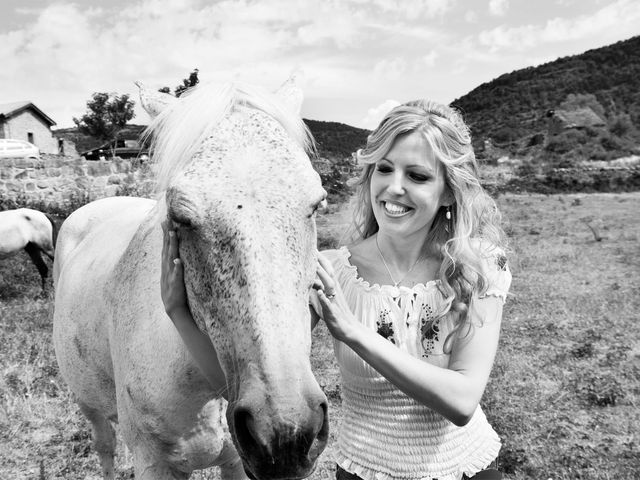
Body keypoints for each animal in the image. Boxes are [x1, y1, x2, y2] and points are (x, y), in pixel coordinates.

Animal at [52, 79, 328, 480]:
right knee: (104, 446)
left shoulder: (235, 463)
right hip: (89, 405)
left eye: (316, 205)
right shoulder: (152, 463)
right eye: (181, 218)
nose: (286, 434)